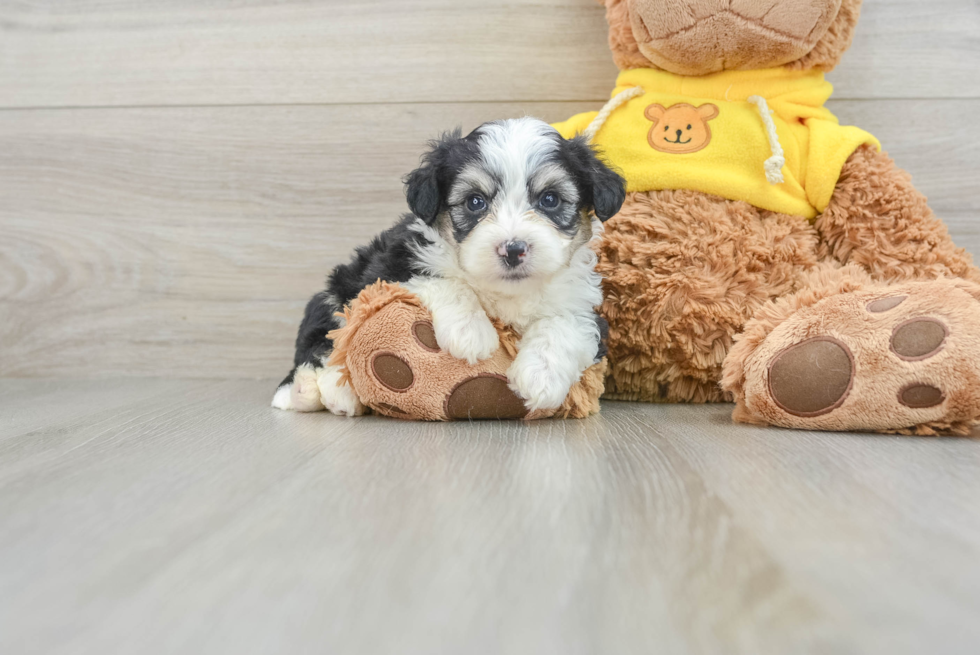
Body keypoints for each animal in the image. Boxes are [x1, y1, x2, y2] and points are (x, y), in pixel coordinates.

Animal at [272, 116, 624, 416]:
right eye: (475, 202)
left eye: (550, 199)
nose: (513, 250)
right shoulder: (390, 269)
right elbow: (444, 280)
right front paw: (470, 332)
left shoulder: (584, 307)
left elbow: (566, 325)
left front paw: (541, 377)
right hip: (335, 294)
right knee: (322, 345)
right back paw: (313, 390)